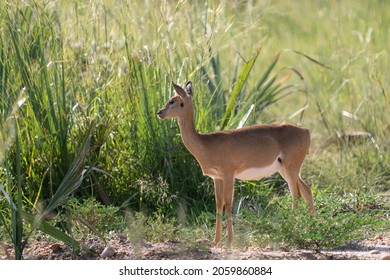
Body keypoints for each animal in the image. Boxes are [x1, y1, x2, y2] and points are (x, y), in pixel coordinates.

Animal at [156, 80, 314, 247]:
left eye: (172, 100)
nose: (159, 112)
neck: (205, 144)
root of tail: (306, 131)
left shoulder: (228, 174)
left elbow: (228, 204)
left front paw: (230, 241)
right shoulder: (216, 177)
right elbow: (219, 205)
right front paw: (216, 241)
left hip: (290, 168)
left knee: (296, 194)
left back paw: (293, 233)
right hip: (286, 170)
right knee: (307, 191)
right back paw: (309, 230)